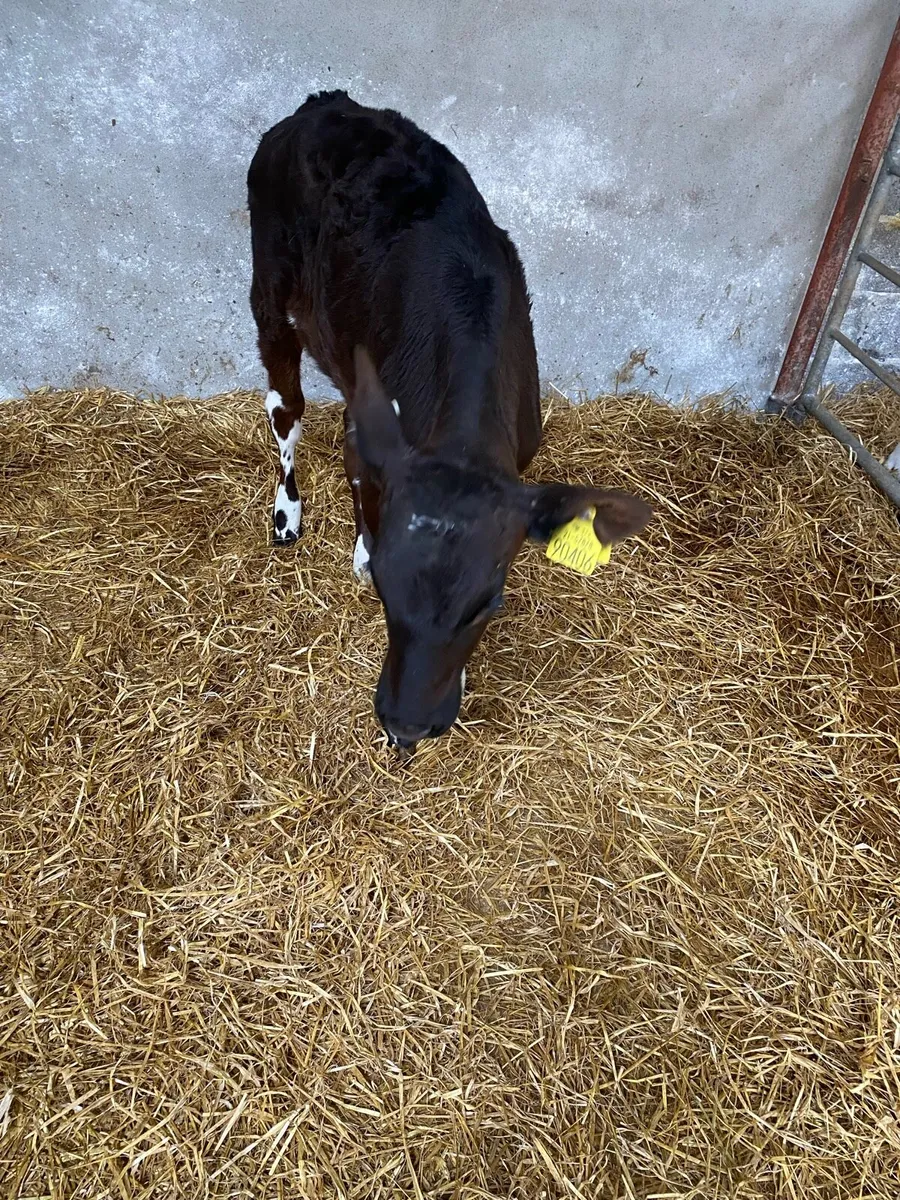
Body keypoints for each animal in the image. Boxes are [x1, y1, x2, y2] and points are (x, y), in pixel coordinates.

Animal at [248, 91, 651, 753]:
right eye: (386, 591)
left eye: (490, 603)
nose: (408, 725)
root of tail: (326, 103)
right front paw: (361, 549)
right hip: (270, 288)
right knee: (286, 406)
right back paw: (288, 512)